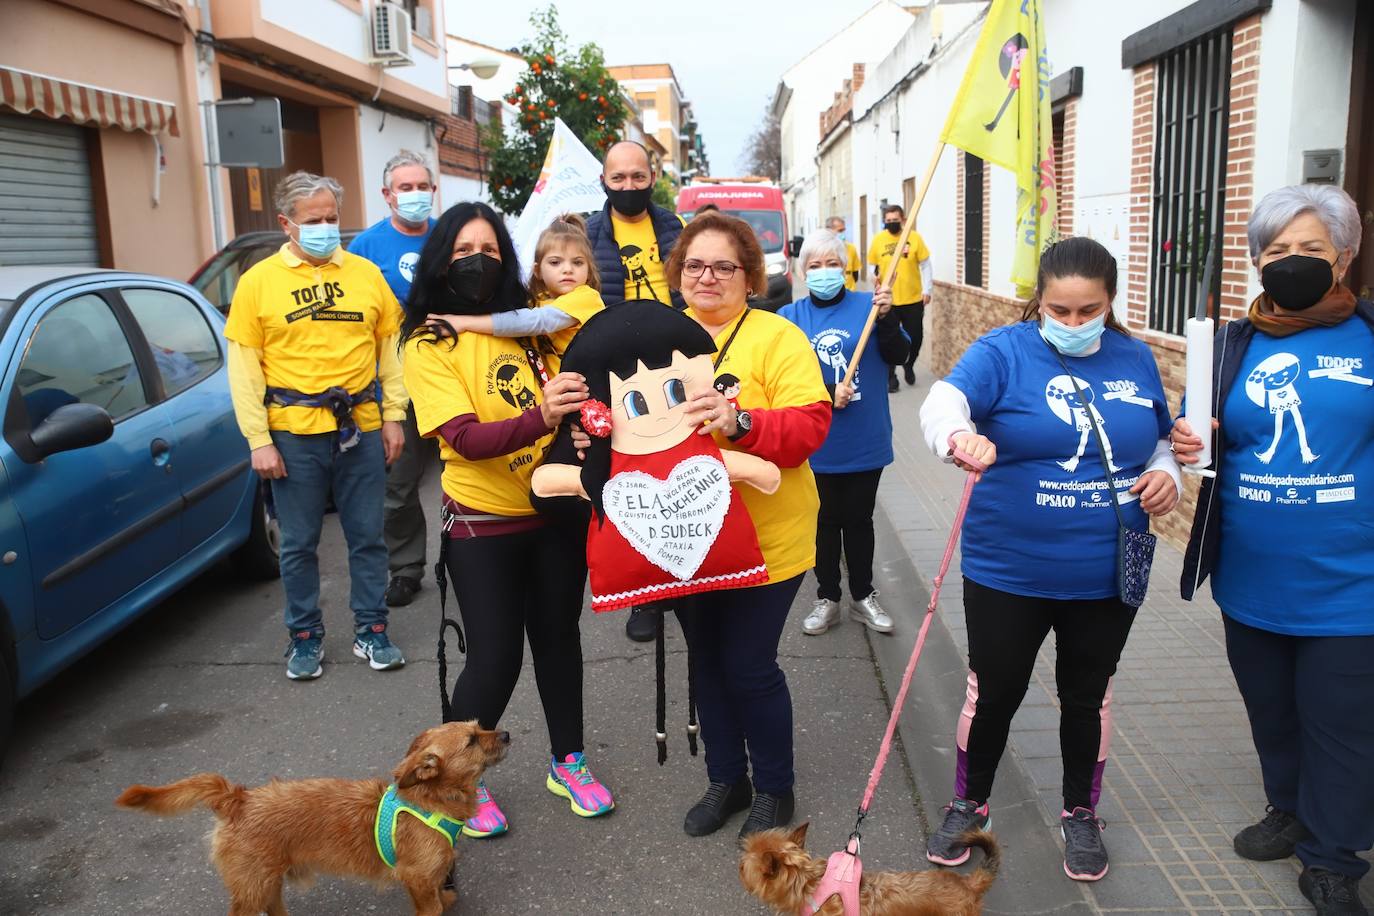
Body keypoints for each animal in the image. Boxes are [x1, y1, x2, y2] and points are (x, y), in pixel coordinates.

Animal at [114, 719, 511, 911]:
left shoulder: (429, 879)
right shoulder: (416, 879)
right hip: (252, 889)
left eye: (480, 727)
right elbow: (431, 908)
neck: (429, 800)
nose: (506, 734)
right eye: (471, 741)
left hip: (268, 882)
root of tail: (236, 799)